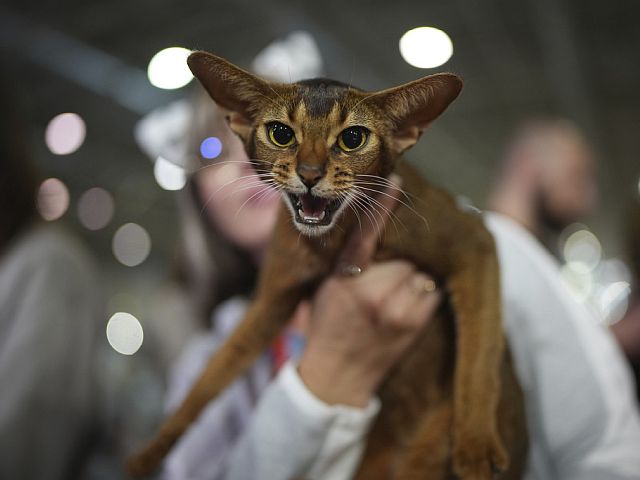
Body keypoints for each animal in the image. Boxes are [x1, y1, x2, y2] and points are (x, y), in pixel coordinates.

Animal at [127, 50, 528, 478]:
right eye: (281, 134)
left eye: (353, 138)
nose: (309, 174)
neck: (335, 240)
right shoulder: (273, 299)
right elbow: (213, 373)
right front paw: (151, 452)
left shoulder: (474, 240)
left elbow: (479, 360)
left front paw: (476, 446)